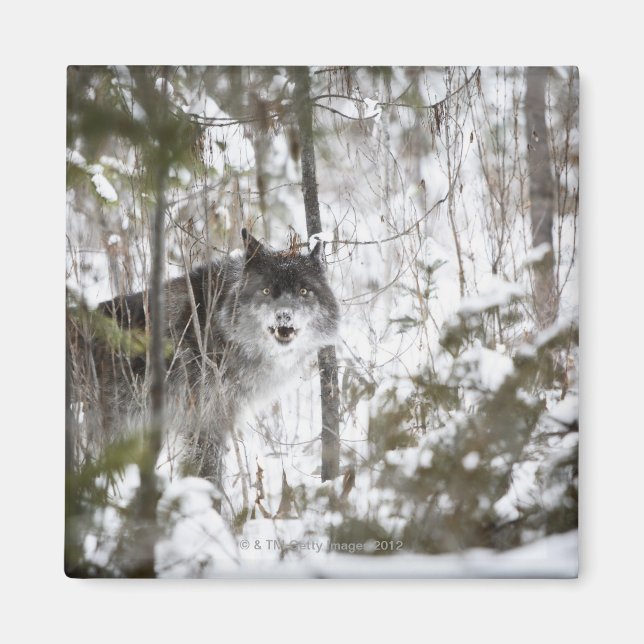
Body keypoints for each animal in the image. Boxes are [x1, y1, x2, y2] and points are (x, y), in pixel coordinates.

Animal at [69, 228, 339, 487]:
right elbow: (208, 475)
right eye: (266, 290)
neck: (218, 327)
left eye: (303, 291)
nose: (284, 315)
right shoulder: (203, 424)